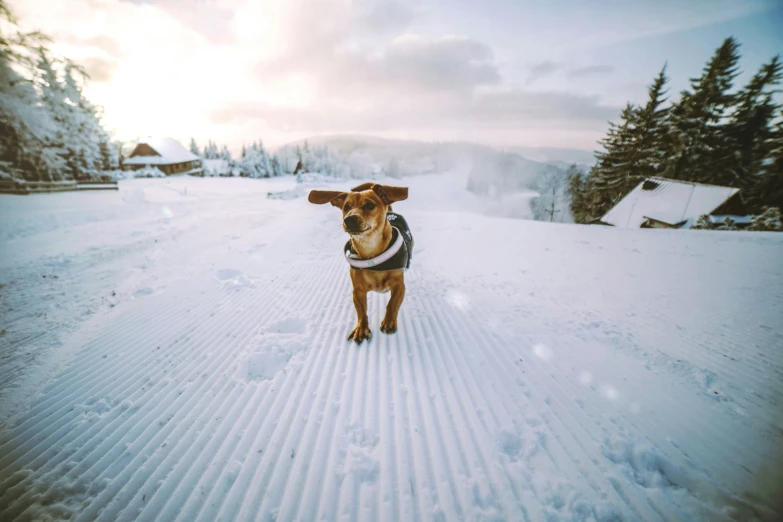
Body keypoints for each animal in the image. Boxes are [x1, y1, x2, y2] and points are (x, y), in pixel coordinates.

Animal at [310, 181, 414, 344]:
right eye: (346, 207)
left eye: (370, 205)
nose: (349, 219)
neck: (370, 250)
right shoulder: (357, 290)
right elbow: (361, 311)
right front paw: (361, 328)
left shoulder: (399, 286)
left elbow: (392, 304)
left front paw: (388, 321)